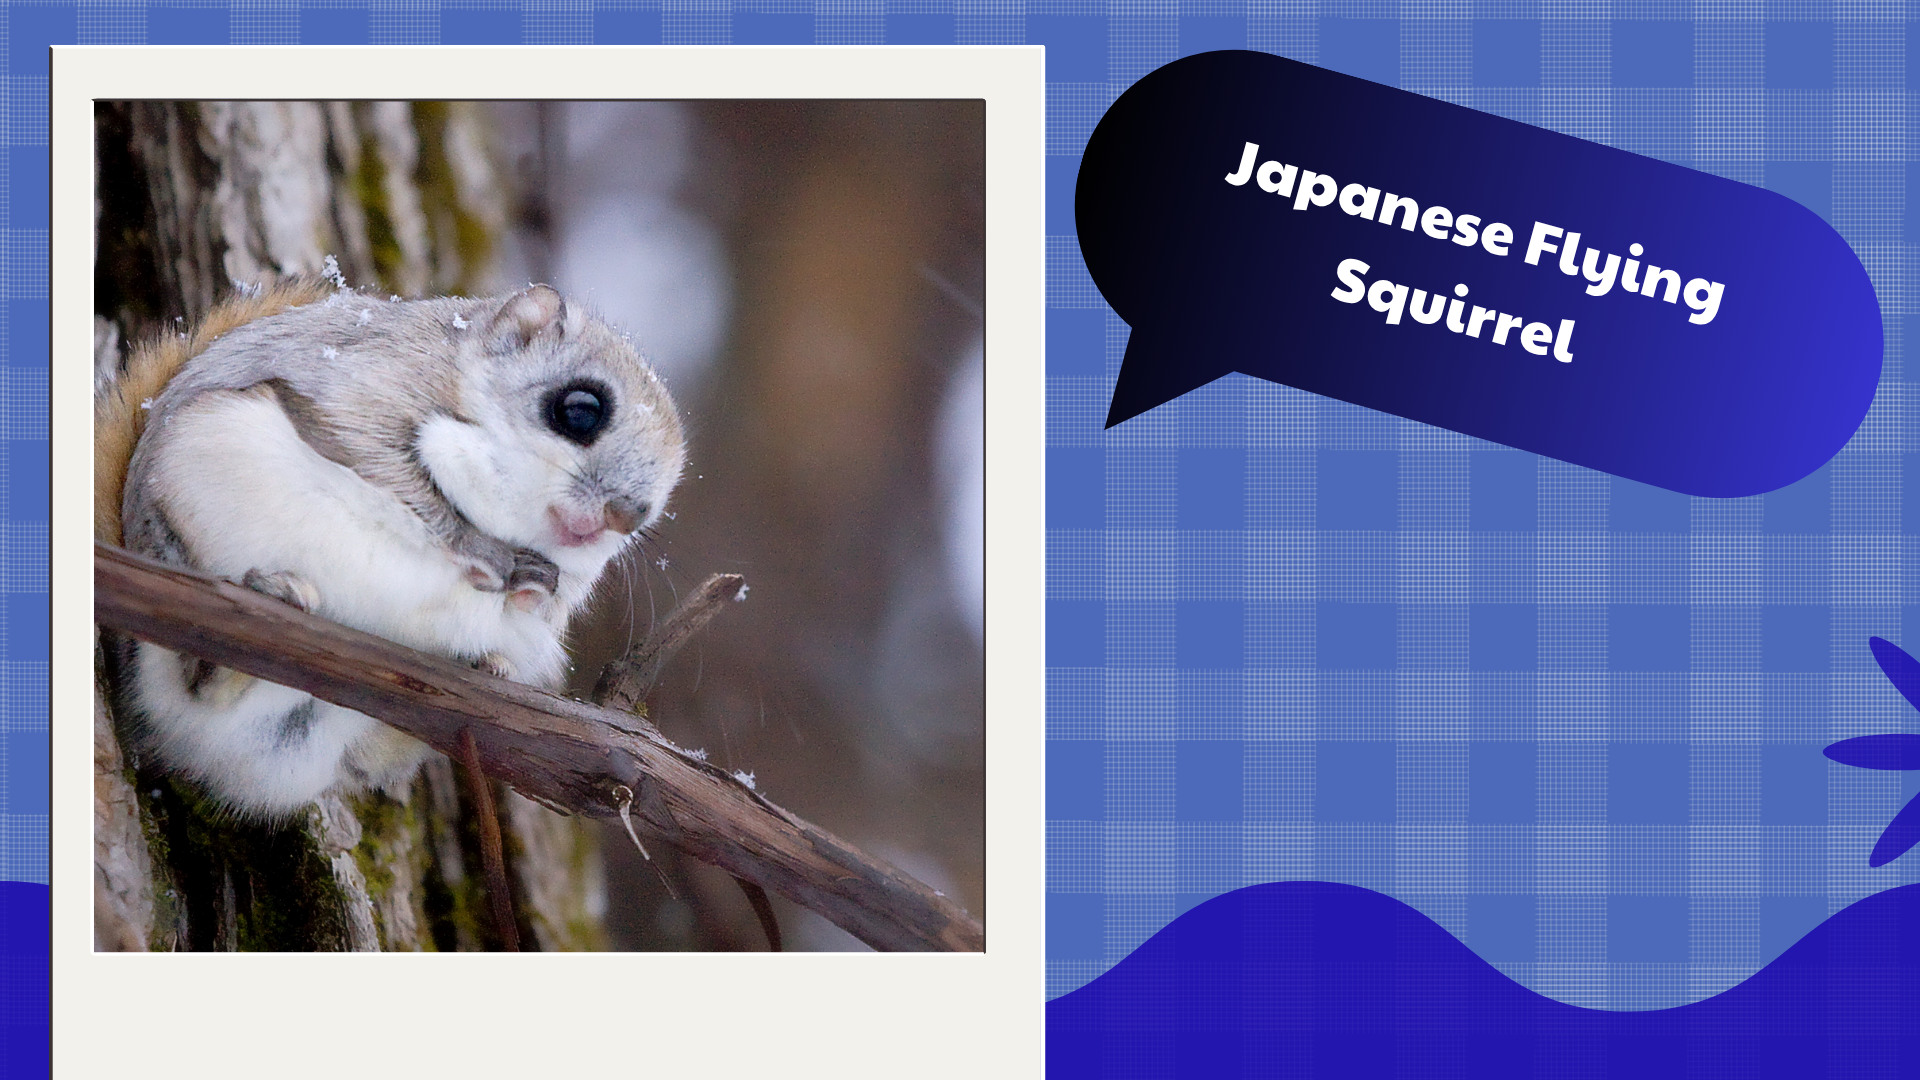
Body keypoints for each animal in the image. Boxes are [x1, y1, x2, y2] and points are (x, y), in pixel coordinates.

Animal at [96, 277, 687, 819]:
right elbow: (393, 473)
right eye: (581, 409)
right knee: (194, 681)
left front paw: (532, 590)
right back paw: (269, 600)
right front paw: (487, 553)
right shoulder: (367, 392)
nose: (629, 516)